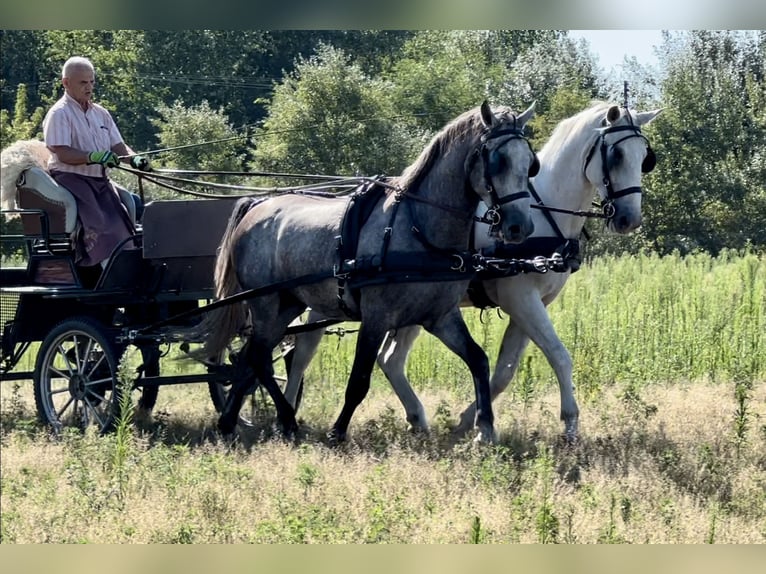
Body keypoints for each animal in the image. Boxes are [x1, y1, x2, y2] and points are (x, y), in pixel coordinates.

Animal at [195, 100, 536, 446]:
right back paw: (285, 419)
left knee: (250, 359)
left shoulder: (441, 316)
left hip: (287, 305)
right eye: (498, 161)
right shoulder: (376, 317)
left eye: (530, 164)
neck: (417, 226)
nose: (519, 227)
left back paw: (230, 422)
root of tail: (256, 206)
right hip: (265, 304)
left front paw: (486, 427)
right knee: (260, 360)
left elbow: (478, 360)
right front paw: (337, 431)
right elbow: (359, 379)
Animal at [284, 101, 664, 444]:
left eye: (644, 157)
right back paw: (286, 413)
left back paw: (417, 418)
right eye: (616, 155)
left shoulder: (531, 304)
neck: (544, 211)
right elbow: (558, 355)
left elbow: (504, 370)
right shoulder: (520, 299)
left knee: (388, 359)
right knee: (302, 355)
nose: (630, 219)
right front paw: (569, 425)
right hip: (325, 304)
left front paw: (471, 421)